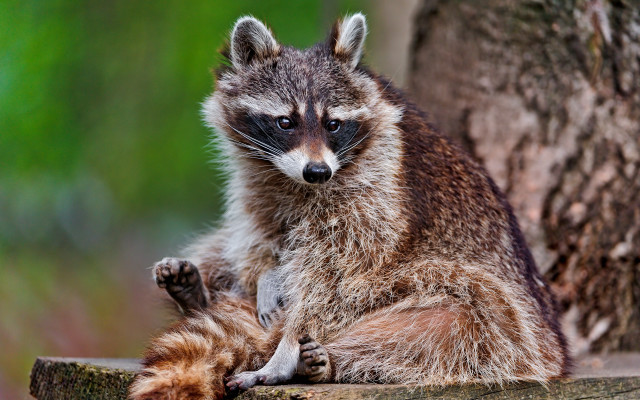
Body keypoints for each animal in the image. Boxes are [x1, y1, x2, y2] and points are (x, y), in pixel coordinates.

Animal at [129, 13, 570, 400]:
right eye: (285, 122)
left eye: (333, 124)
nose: (317, 171)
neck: (294, 180)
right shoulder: (258, 179)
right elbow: (262, 233)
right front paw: (267, 275)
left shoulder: (375, 191)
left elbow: (339, 272)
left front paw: (287, 344)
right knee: (222, 245)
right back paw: (198, 295)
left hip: (512, 325)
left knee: (458, 321)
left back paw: (313, 358)